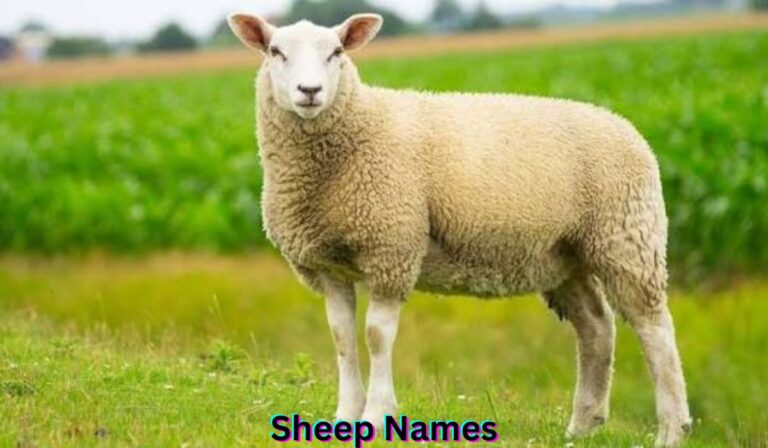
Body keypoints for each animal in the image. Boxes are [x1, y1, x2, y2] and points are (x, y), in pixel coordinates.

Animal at [228, 12, 692, 447]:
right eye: (275, 52)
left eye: (337, 52)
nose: (309, 91)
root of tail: (626, 127)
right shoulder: (329, 265)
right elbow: (341, 337)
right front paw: (345, 417)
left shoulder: (392, 248)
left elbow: (376, 336)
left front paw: (377, 416)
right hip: (565, 255)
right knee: (596, 327)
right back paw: (583, 425)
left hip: (626, 238)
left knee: (655, 330)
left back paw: (672, 429)